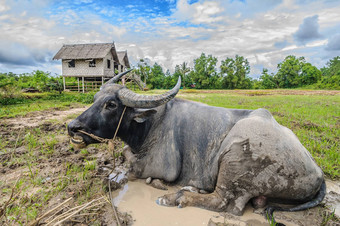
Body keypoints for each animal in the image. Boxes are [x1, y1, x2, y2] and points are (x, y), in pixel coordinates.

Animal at [67, 70, 326, 224]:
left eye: (111, 104)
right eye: (94, 100)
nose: (73, 127)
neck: (148, 124)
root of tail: (319, 173)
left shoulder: (161, 167)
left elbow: (131, 164)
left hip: (234, 156)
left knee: (225, 202)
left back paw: (177, 197)